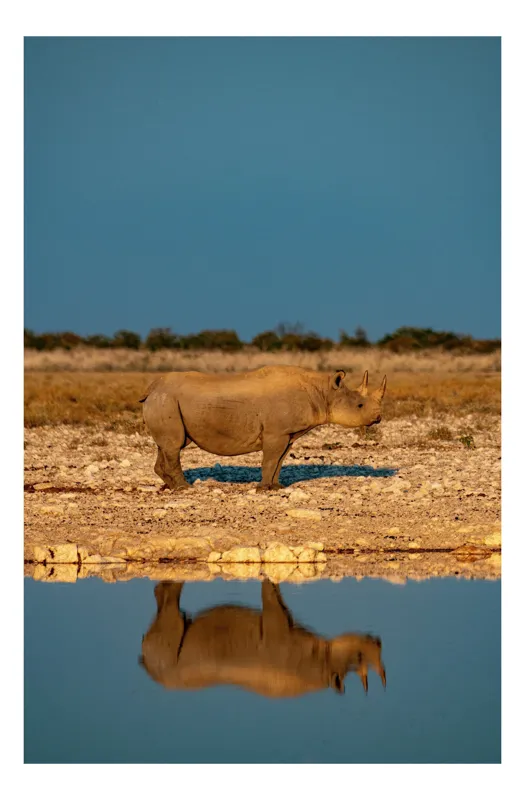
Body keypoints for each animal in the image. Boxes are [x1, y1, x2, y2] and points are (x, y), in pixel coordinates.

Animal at [140, 365, 386, 491]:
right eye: (360, 405)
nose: (378, 418)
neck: (323, 393)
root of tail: (152, 388)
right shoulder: (276, 433)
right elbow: (269, 460)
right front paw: (262, 489)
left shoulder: (288, 434)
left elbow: (279, 461)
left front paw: (276, 487)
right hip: (166, 400)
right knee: (174, 446)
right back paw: (185, 488)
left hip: (165, 401)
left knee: (167, 445)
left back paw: (169, 487)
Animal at [140, 580, 386, 698]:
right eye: (359, 655)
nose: (378, 640)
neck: (323, 662)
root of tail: (146, 665)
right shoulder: (276, 629)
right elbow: (270, 595)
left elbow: (277, 595)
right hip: (167, 660)